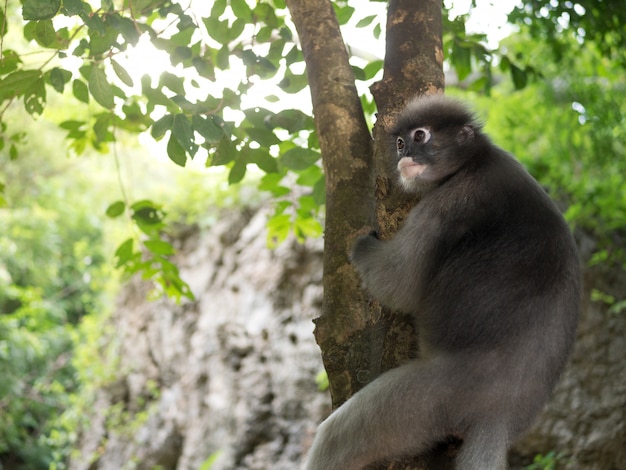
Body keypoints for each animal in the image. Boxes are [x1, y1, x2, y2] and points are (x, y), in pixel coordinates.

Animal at [304, 93, 576, 468]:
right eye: (400, 142)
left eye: (420, 136)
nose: (404, 154)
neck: (475, 161)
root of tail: (501, 412)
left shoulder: (448, 202)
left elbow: (398, 283)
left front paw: (361, 247)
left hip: (431, 399)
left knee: (337, 436)